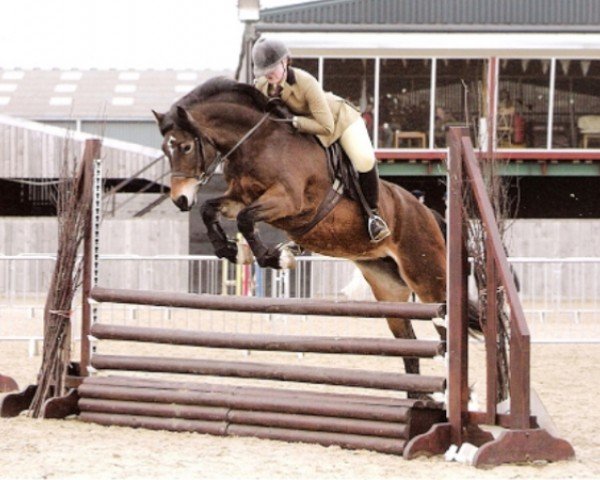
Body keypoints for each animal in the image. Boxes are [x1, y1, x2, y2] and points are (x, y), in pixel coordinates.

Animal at [154, 78, 450, 386]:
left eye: (186, 147)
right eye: (166, 149)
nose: (180, 200)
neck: (258, 142)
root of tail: (427, 211)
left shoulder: (288, 200)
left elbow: (246, 221)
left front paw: (276, 257)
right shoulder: (238, 198)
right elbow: (210, 210)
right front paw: (230, 250)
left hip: (428, 278)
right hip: (388, 287)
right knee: (410, 349)